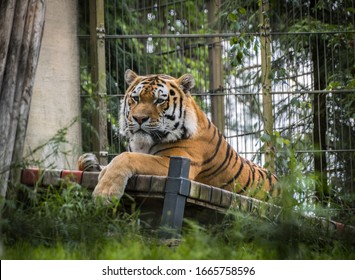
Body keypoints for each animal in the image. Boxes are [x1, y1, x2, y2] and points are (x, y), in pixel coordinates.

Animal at [79, 70, 280, 201]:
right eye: (135, 98)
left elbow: (126, 157)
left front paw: (105, 192)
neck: (143, 144)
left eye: (159, 100)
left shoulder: (175, 162)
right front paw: (89, 162)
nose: (139, 118)